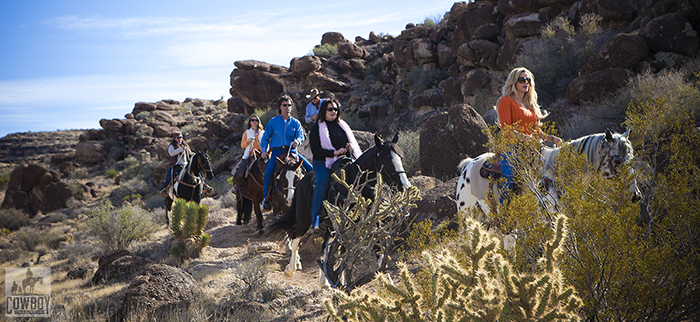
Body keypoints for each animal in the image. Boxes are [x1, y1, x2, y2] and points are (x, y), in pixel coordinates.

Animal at [266, 132, 410, 286]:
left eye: (401, 157)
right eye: (386, 158)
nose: (405, 185)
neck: (356, 185)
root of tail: (301, 182)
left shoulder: (371, 225)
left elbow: (378, 252)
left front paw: (388, 282)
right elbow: (343, 253)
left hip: (329, 226)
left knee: (324, 248)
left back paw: (324, 280)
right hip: (304, 218)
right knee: (295, 238)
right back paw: (291, 269)